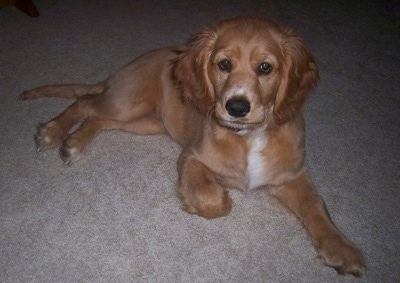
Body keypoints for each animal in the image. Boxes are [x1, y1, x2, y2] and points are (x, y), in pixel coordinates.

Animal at [21, 16, 366, 276]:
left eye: (266, 68)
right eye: (223, 64)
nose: (236, 107)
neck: (249, 137)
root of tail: (124, 68)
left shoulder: (292, 175)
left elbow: (315, 205)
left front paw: (341, 248)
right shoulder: (191, 156)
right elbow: (215, 199)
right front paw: (197, 202)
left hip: (148, 122)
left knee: (98, 118)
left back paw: (74, 143)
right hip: (128, 103)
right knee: (85, 103)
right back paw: (54, 132)